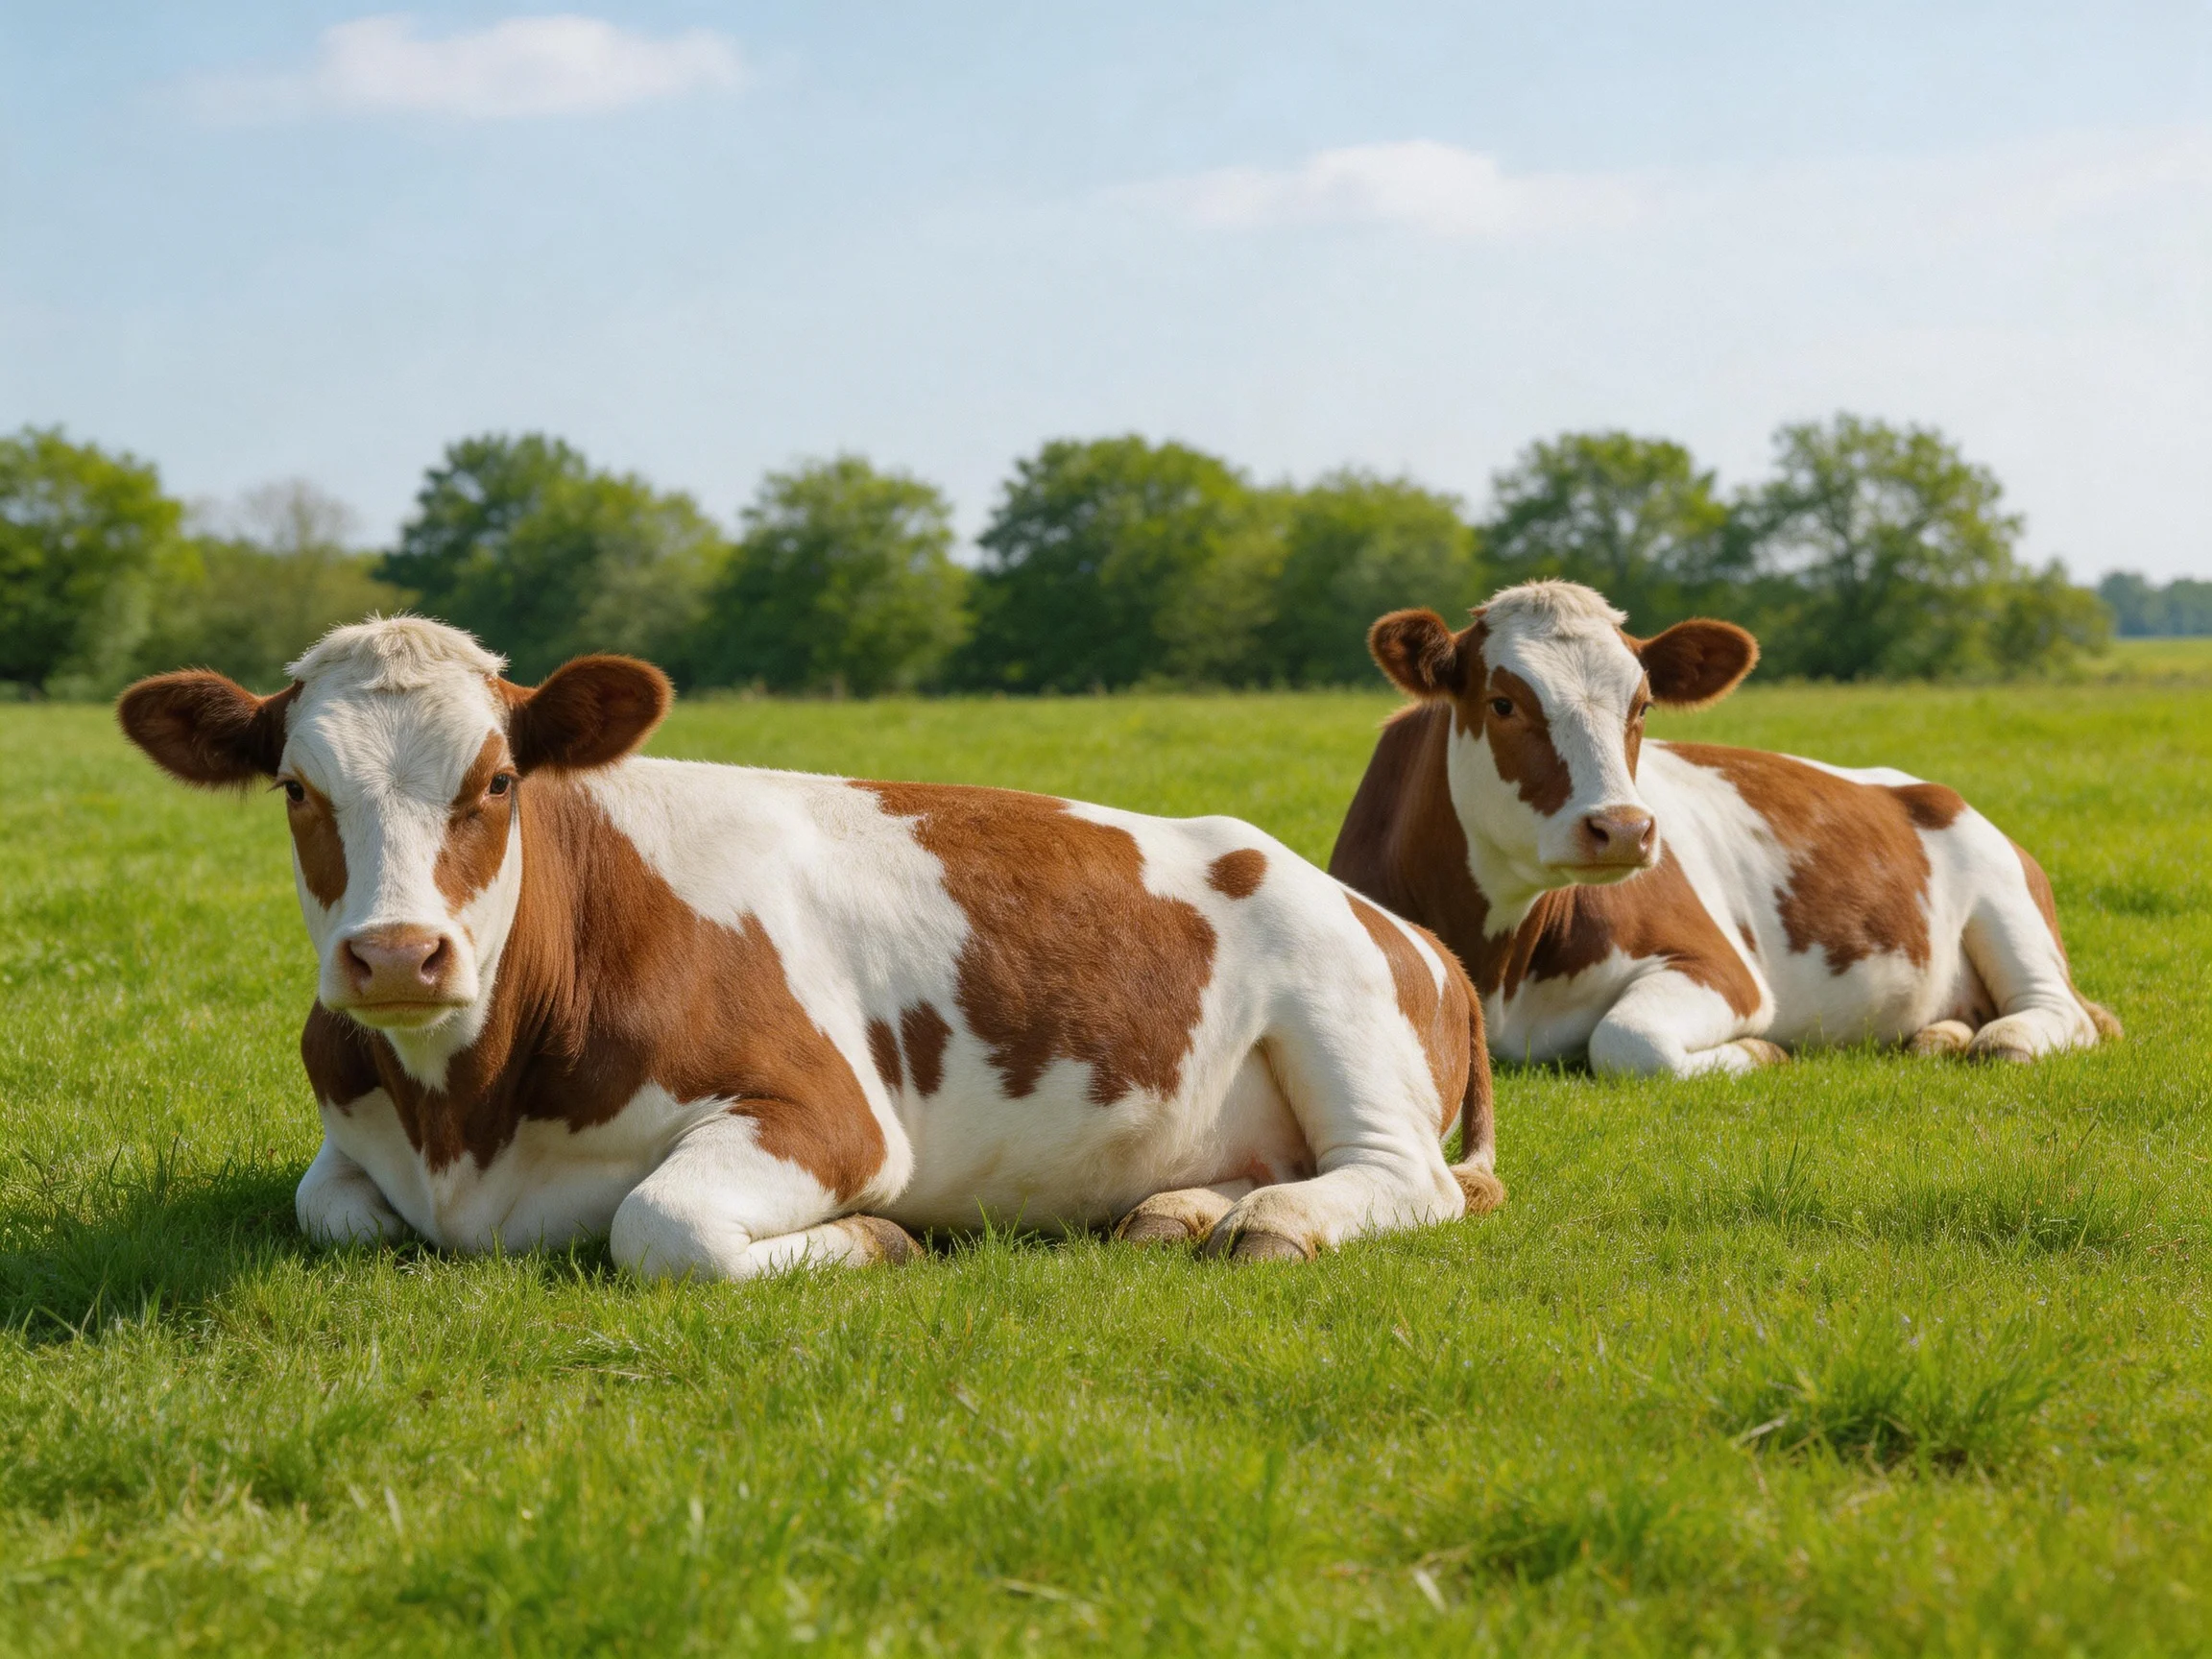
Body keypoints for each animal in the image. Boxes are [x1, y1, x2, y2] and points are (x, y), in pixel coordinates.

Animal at [115, 617, 1502, 1279]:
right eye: (296, 788)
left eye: (498, 779)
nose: (399, 958)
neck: (467, 1117)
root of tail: (1408, 928)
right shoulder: (350, 1143)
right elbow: (326, 1208)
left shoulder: (831, 1116)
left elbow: (658, 1228)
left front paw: (875, 1241)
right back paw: (1184, 1211)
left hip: (1337, 1005)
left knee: (1408, 1181)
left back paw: (1278, 1224)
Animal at [1329, 579, 2118, 1078]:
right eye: (1502, 703)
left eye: (1643, 706)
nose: (1623, 829)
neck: (1497, 965)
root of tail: (1919, 786)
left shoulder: (1725, 970)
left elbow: (1628, 1041)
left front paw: (1763, 1053)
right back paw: (1941, 1035)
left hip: (2004, 896)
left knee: (2060, 1013)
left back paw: (2005, 1036)